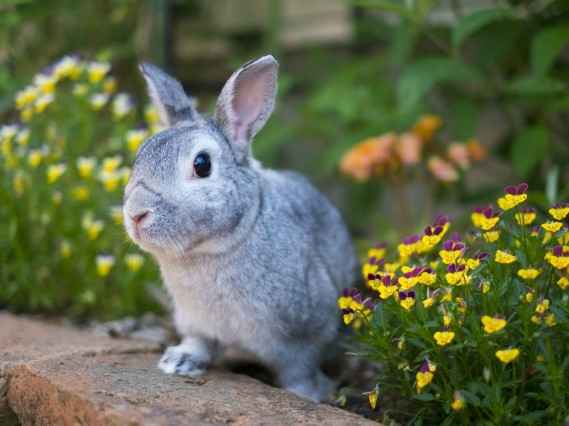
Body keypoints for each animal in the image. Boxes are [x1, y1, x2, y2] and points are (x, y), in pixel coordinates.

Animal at [122, 55, 358, 402]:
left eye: (202, 164)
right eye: (141, 155)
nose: (136, 213)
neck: (215, 248)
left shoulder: (303, 335)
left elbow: (299, 369)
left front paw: (305, 395)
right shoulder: (195, 321)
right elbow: (199, 342)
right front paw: (178, 361)